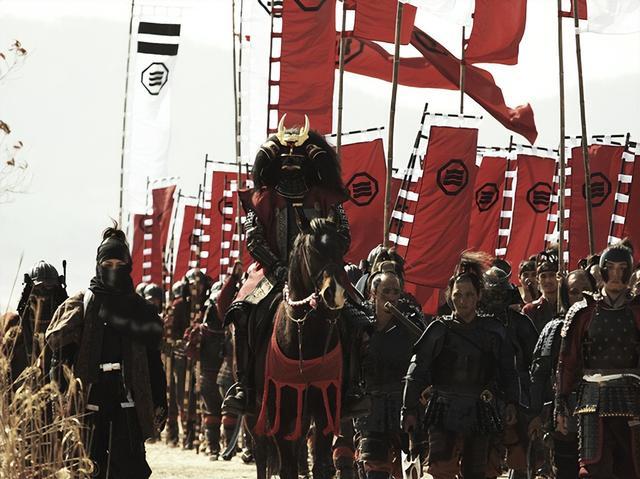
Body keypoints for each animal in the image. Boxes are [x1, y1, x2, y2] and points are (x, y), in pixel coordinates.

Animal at [246, 218, 349, 479]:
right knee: (261, 452)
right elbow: (287, 467)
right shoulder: (280, 410)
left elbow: (321, 465)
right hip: (256, 412)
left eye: (340, 249)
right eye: (312, 250)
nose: (335, 294)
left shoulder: (323, 407)